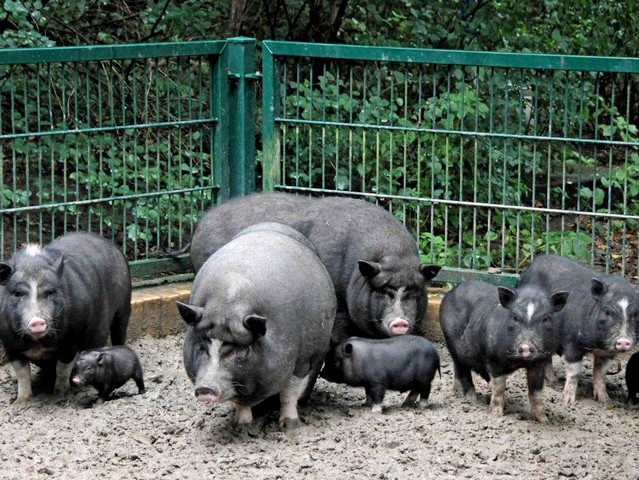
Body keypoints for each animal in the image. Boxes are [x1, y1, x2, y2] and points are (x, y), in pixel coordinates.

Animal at [0, 232, 132, 402]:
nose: (37, 320)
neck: (38, 343)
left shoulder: (72, 340)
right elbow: (22, 374)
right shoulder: (9, 344)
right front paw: (21, 401)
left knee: (119, 333)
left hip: (124, 307)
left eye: (50, 292)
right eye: (17, 293)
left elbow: (63, 369)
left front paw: (60, 394)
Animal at [176, 222, 336, 428]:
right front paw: (242, 426)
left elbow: (290, 391)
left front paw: (290, 425)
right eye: (203, 346)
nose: (205, 388)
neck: (227, 304)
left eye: (238, 349)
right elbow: (240, 400)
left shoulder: (303, 359)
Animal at [440, 280, 568, 422]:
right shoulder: (493, 359)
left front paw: (545, 420)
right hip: (452, 343)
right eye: (515, 317)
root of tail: (450, 293)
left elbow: (536, 392)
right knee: (463, 371)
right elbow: (499, 387)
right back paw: (472, 402)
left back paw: (458, 393)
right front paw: (496, 415)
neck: (518, 361)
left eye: (545, 318)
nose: (526, 346)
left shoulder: (539, 361)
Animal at [516, 255, 639, 404]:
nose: (623, 340)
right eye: (607, 311)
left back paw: (554, 381)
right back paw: (554, 382)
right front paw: (568, 402)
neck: (597, 345)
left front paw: (605, 400)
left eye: (636, 314)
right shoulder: (572, 341)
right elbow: (574, 371)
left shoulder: (607, 353)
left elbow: (600, 373)